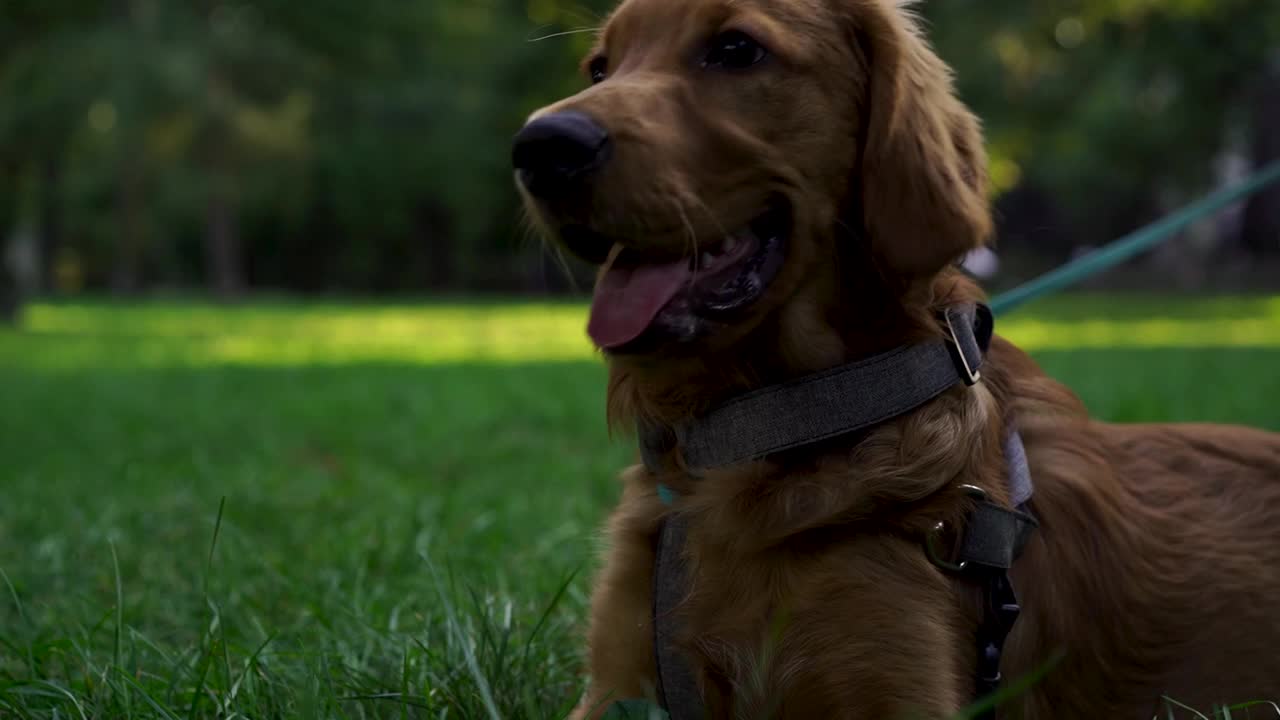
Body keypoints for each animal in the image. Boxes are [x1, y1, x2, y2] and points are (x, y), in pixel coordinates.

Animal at [509, 2, 1280, 712]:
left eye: (736, 49)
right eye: (600, 69)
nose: (539, 147)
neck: (757, 437)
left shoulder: (899, 690)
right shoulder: (616, 685)